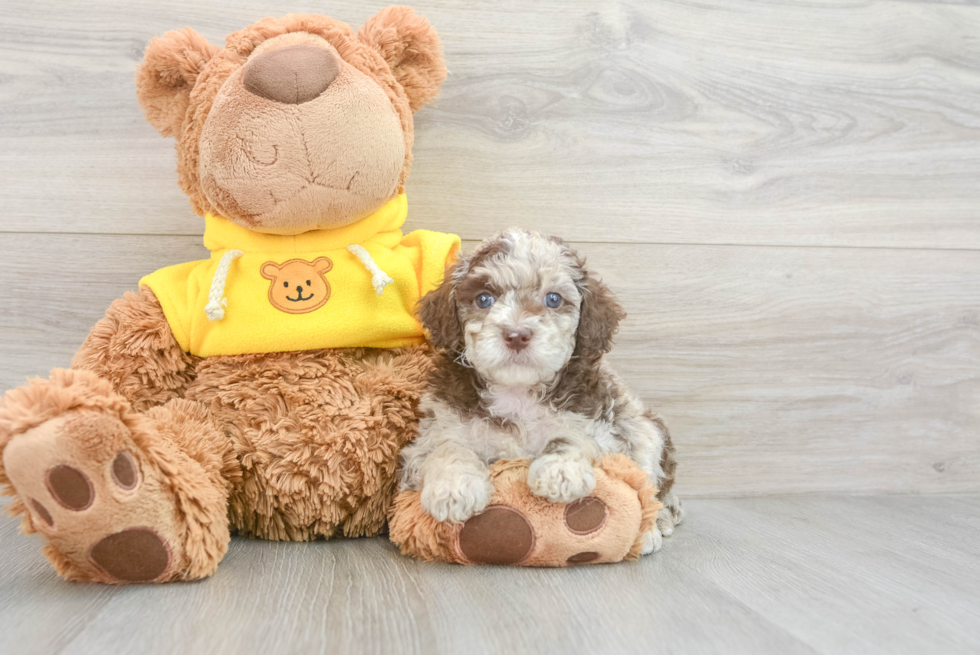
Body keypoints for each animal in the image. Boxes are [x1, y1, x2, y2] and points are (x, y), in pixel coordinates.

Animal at [398, 229, 680, 552]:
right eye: (484, 299)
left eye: (553, 299)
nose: (516, 335)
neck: (517, 393)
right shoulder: (432, 433)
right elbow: (446, 448)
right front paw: (453, 487)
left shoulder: (602, 427)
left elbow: (574, 437)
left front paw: (560, 470)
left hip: (645, 428)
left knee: (652, 484)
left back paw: (655, 526)